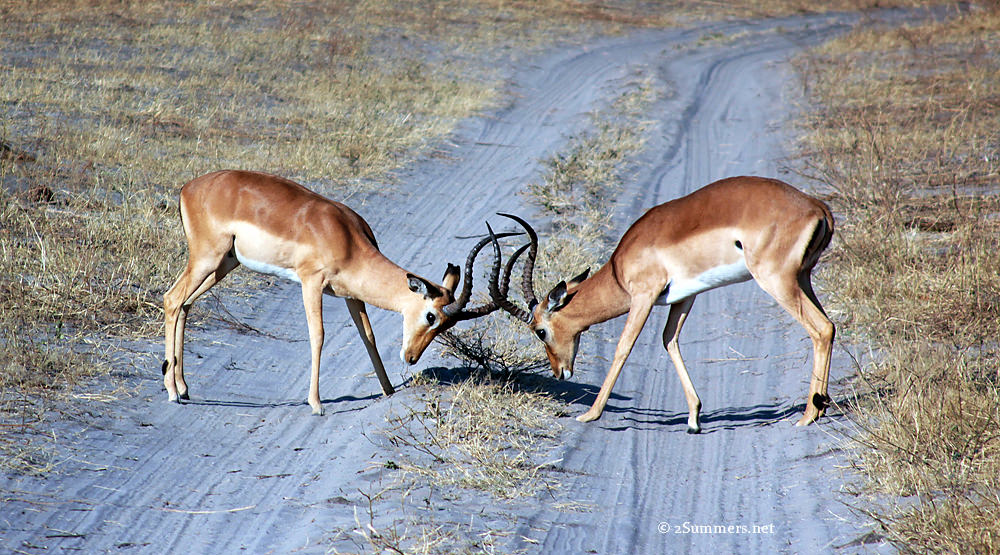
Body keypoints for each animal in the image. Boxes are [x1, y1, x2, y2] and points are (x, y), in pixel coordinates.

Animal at [163, 170, 511, 415]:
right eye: (430, 317)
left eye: (446, 325)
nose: (411, 358)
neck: (344, 237)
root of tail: (188, 188)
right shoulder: (311, 282)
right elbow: (318, 335)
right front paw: (316, 404)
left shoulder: (351, 296)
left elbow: (368, 336)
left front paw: (388, 391)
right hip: (207, 259)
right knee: (172, 299)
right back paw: (172, 391)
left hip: (224, 263)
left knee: (186, 305)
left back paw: (183, 387)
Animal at [488, 176, 835, 432]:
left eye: (540, 331)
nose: (560, 372)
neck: (619, 268)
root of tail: (818, 208)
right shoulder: (684, 296)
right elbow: (670, 340)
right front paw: (694, 419)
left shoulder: (643, 297)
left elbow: (623, 348)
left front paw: (591, 414)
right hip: (802, 278)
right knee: (829, 327)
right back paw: (819, 407)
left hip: (777, 281)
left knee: (821, 328)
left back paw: (808, 415)